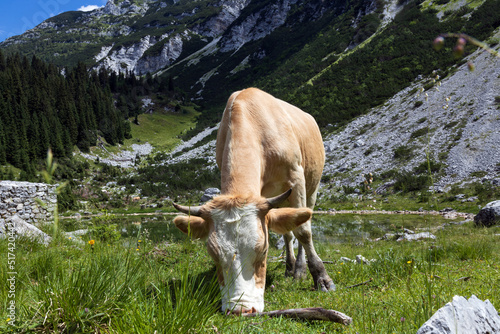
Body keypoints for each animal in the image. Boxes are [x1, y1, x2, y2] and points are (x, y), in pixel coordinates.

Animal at [173, 87, 336, 314]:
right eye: (213, 254)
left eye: (263, 251)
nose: (241, 309)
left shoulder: (296, 178)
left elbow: (303, 231)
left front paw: (322, 278)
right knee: (287, 233)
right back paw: (289, 267)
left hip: (313, 186)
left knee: (303, 222)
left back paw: (299, 270)